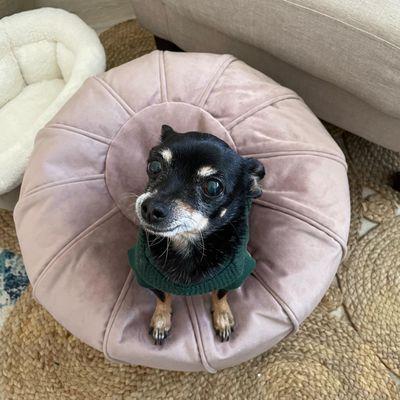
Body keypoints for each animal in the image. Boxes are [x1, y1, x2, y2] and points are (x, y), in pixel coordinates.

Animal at [134, 125, 266, 344]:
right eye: (154, 166)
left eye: (213, 187)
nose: (151, 208)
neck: (187, 243)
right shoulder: (147, 276)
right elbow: (163, 297)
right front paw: (161, 319)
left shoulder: (235, 275)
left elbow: (220, 294)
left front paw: (222, 317)